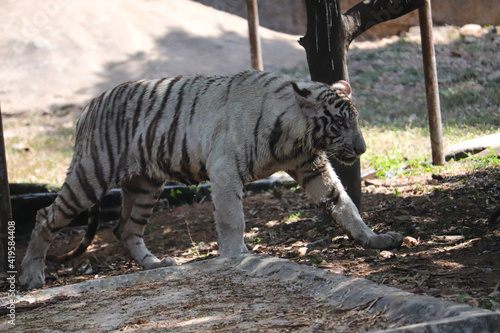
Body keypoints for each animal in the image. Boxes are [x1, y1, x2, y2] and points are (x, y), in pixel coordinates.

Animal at [19, 70, 404, 288]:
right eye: (340, 123)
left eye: (355, 120)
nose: (362, 148)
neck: (297, 137)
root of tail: (87, 107)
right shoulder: (224, 170)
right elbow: (233, 219)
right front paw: (237, 256)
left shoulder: (311, 166)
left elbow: (344, 203)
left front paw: (374, 238)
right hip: (91, 173)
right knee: (45, 217)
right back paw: (31, 277)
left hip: (145, 185)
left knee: (125, 228)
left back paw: (156, 264)